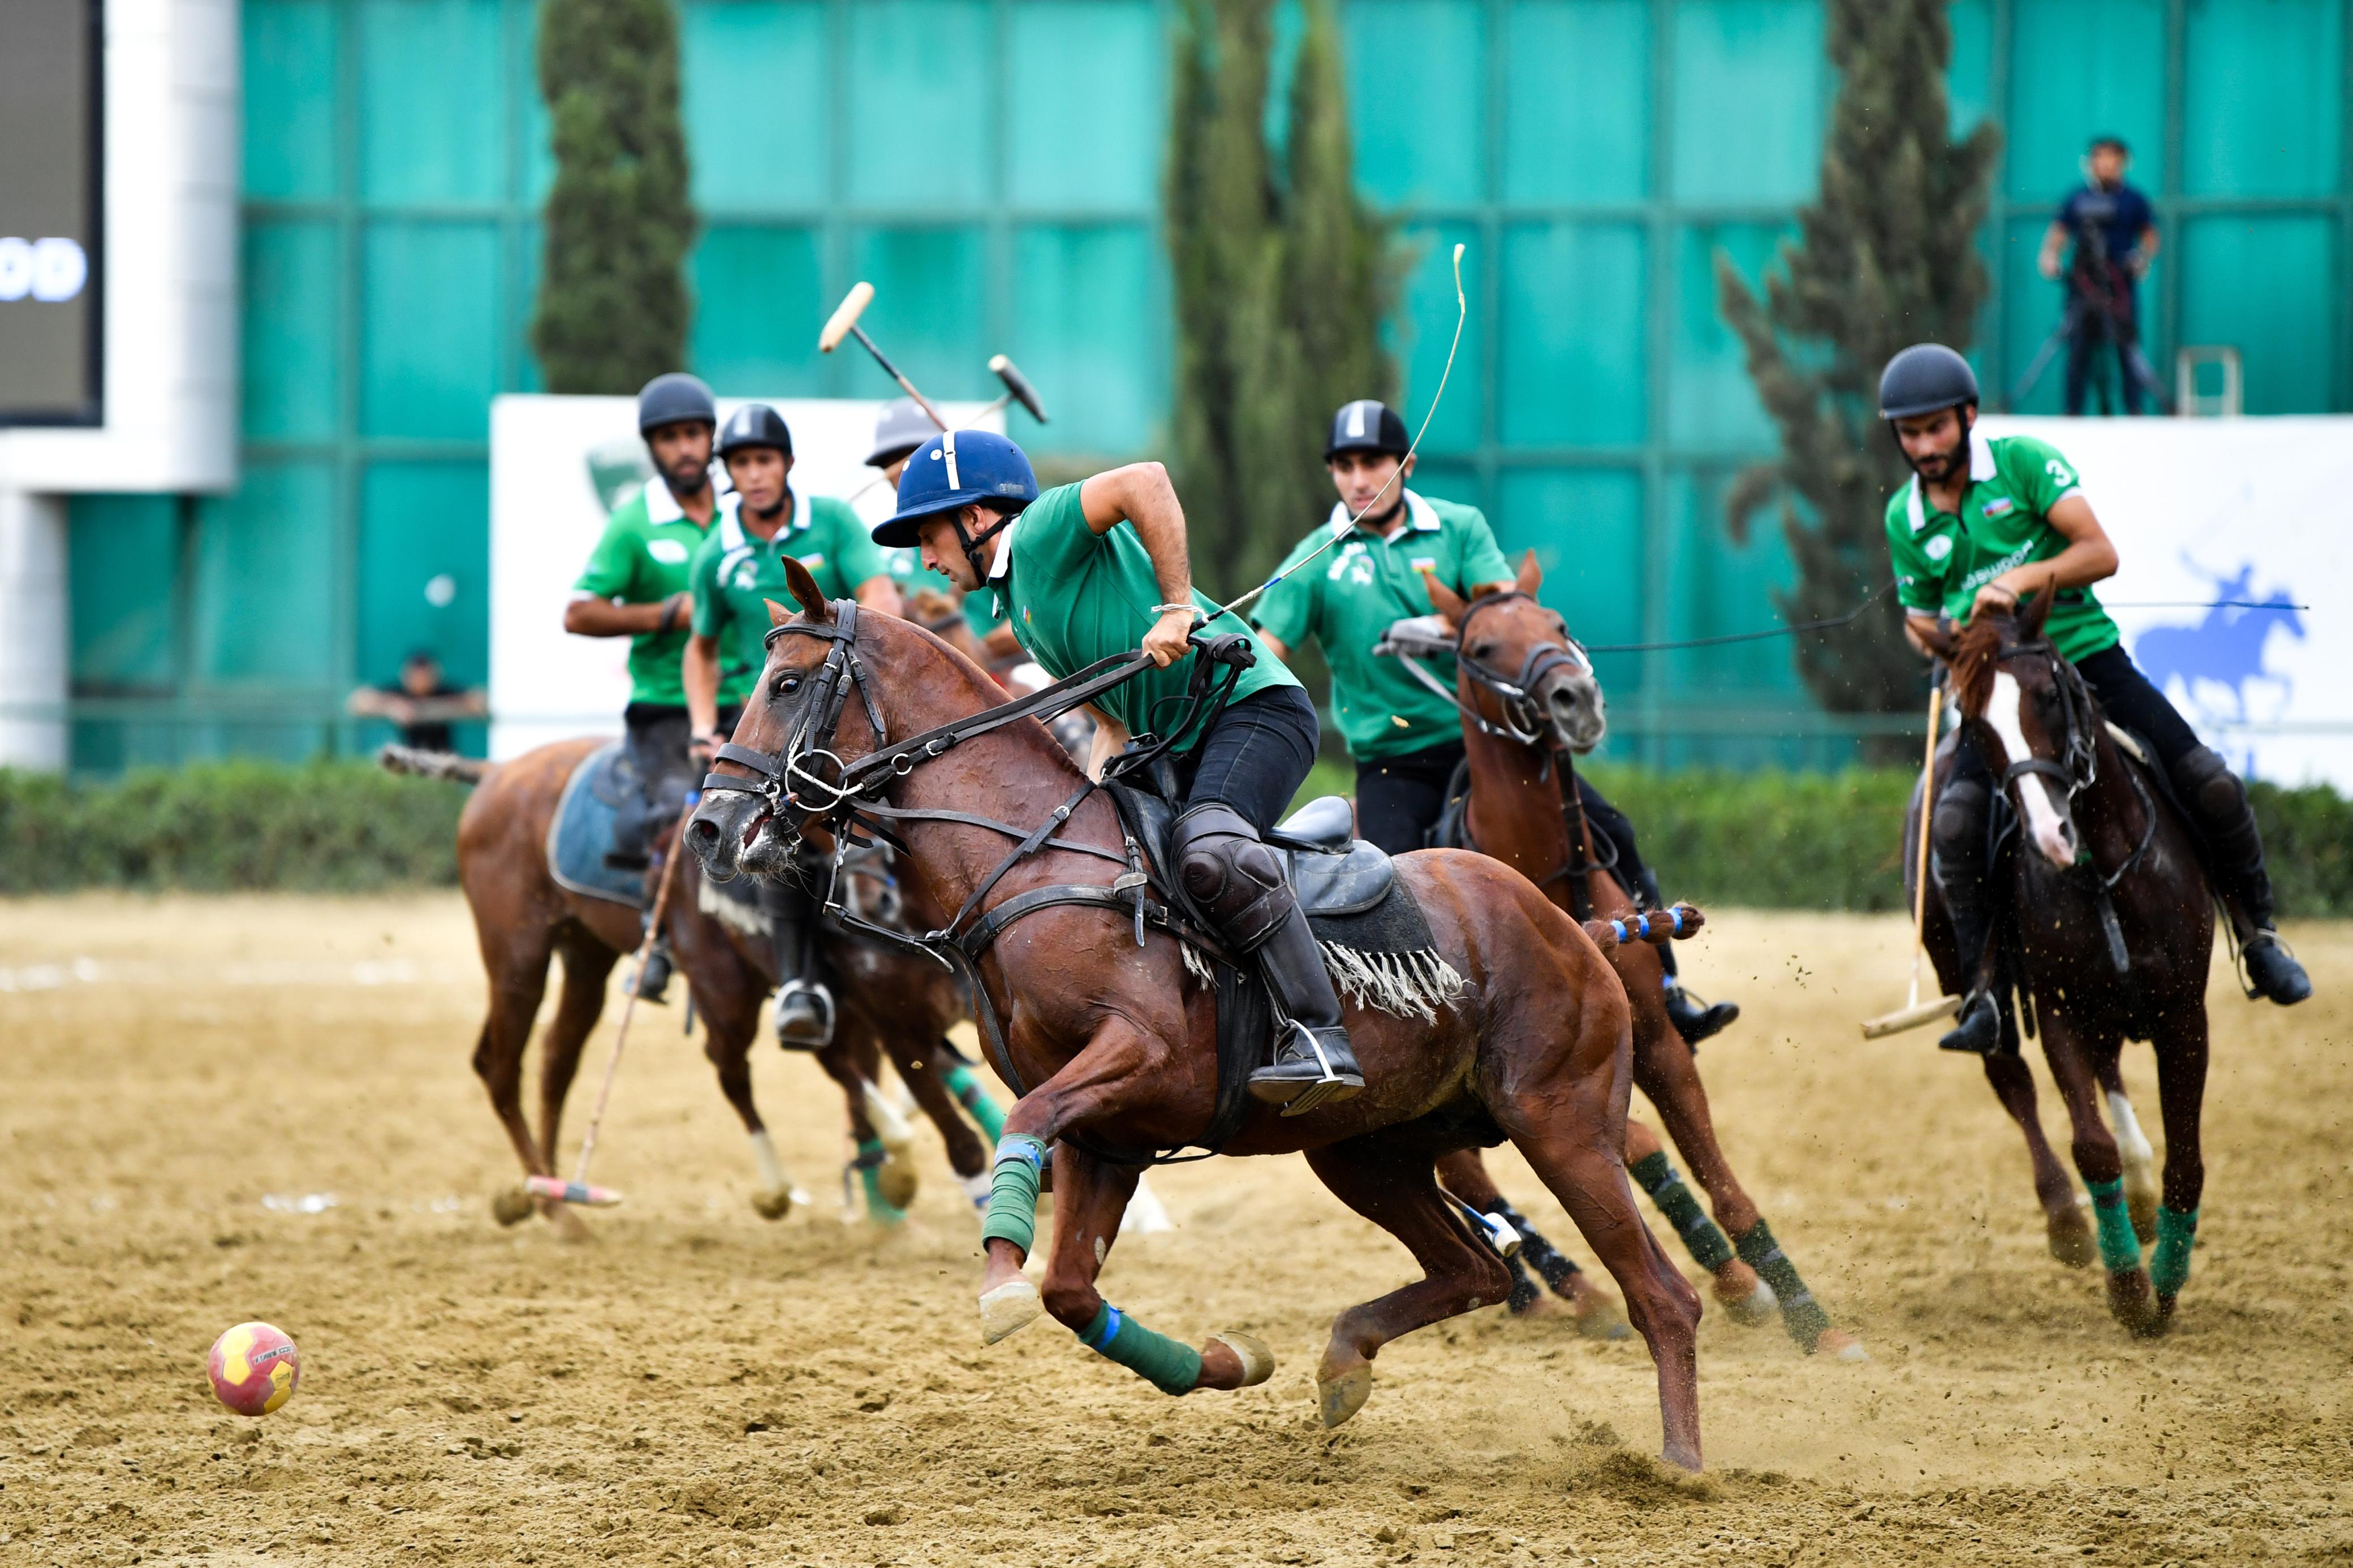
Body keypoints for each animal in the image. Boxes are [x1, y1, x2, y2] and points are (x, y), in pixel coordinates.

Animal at [386, 742, 993, 1232]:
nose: (872, 900)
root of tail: (498, 771)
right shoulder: (895, 1023)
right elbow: (954, 1133)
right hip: (534, 956)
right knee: (510, 1064)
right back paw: (562, 1208)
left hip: (587, 954)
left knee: (558, 1059)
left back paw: (552, 1193)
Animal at [687, 573, 1713, 1476]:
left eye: (785, 684)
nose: (709, 826)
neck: (1030, 860)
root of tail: (1572, 926)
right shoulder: (1108, 1136)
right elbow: (1071, 1290)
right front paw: (1224, 1360)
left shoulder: (1132, 1057)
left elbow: (1022, 1133)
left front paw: (998, 1278)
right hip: (1368, 1152)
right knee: (1476, 1271)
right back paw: (1343, 1361)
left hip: (1561, 1120)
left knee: (1662, 1294)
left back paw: (1682, 1463)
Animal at [1402, 561, 1863, 1363]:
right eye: (1483, 646)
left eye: (1556, 623)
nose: (1574, 698)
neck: (1544, 872)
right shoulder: (1542, 1079)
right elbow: (1635, 1147)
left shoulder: (1654, 1037)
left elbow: (1720, 1180)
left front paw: (1804, 1311)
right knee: (1471, 1174)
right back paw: (1567, 1288)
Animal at [1920, 594, 2212, 1335]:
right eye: (1975, 723)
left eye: (2050, 696)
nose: (2049, 835)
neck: (2101, 867)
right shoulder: (2057, 1010)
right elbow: (2088, 1144)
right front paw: (2129, 1288)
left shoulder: (2183, 1013)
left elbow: (2185, 1154)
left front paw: (2167, 1280)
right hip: (1967, 979)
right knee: (2010, 1078)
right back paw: (2068, 1220)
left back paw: (2141, 1198)